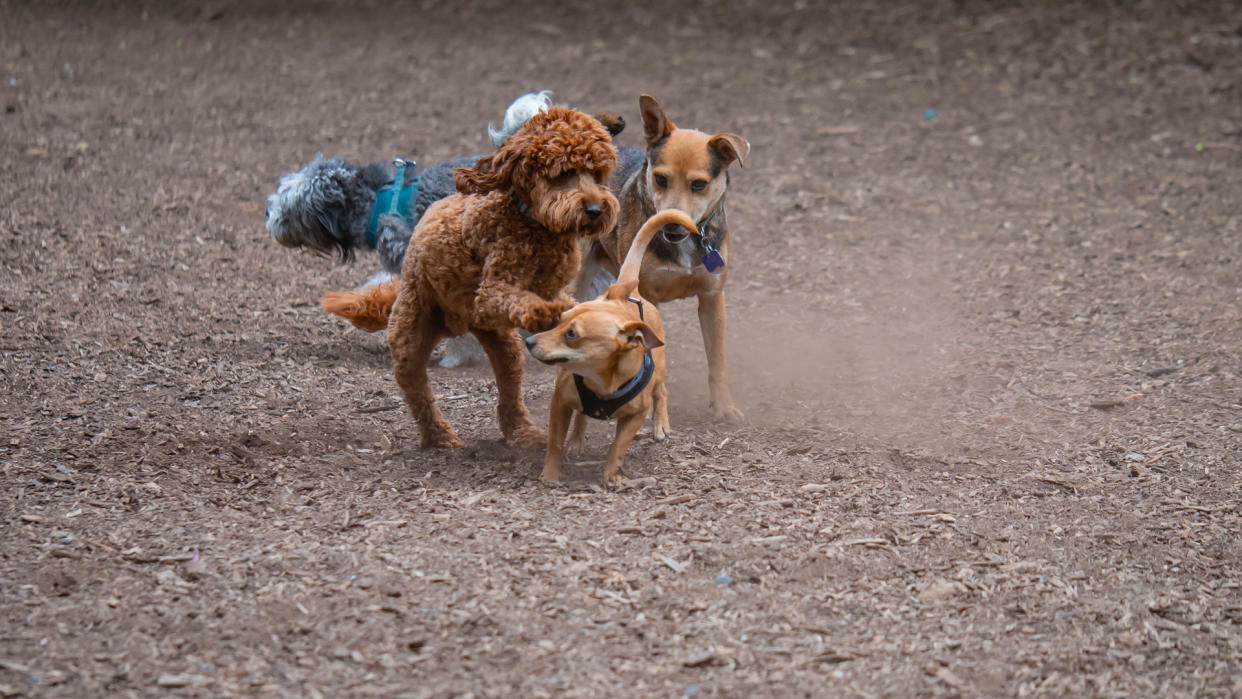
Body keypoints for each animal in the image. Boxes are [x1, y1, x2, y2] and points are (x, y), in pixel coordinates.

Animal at [322, 108, 618, 449]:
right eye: (564, 172)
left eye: (597, 173)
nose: (595, 209)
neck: (534, 224)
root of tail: (456, 323)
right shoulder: (492, 291)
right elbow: (522, 300)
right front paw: (546, 312)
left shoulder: (551, 286)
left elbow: (566, 300)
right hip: (412, 335)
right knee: (417, 392)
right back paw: (438, 435)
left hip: (501, 341)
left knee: (509, 390)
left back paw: (523, 432)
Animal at [524, 209, 700, 481]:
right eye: (560, 320)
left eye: (572, 334)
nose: (529, 341)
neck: (601, 382)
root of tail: (628, 293)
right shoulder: (560, 403)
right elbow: (555, 442)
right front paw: (550, 475)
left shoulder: (636, 416)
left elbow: (618, 446)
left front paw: (612, 476)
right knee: (581, 416)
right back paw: (576, 440)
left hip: (659, 371)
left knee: (661, 391)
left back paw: (661, 424)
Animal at [578, 93, 750, 422]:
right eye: (660, 178)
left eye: (699, 184)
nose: (671, 224)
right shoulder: (647, 298)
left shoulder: (712, 299)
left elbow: (717, 361)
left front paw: (724, 406)